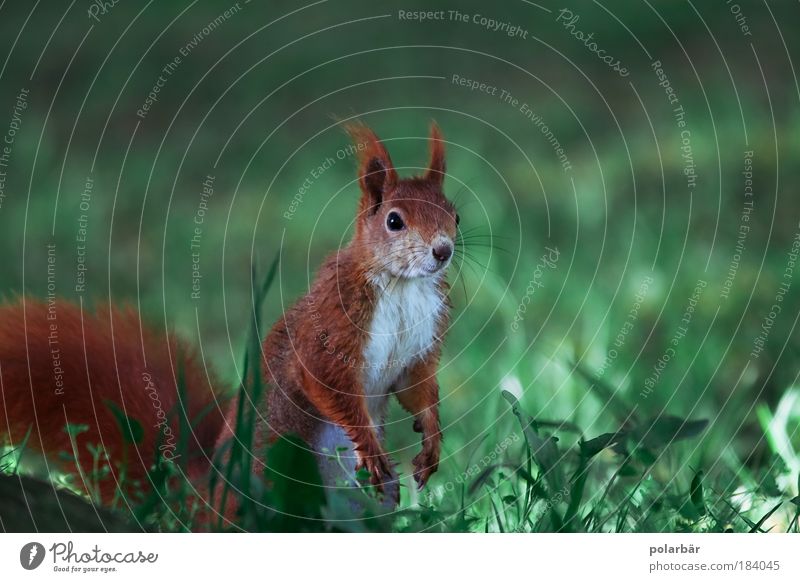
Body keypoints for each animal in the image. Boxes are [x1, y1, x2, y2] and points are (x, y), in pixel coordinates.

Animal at [0, 121, 456, 516]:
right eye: (394, 221)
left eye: (454, 214)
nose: (443, 250)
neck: (402, 285)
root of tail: (205, 501)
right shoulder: (333, 319)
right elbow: (323, 380)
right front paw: (373, 450)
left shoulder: (419, 340)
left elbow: (415, 385)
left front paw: (432, 440)